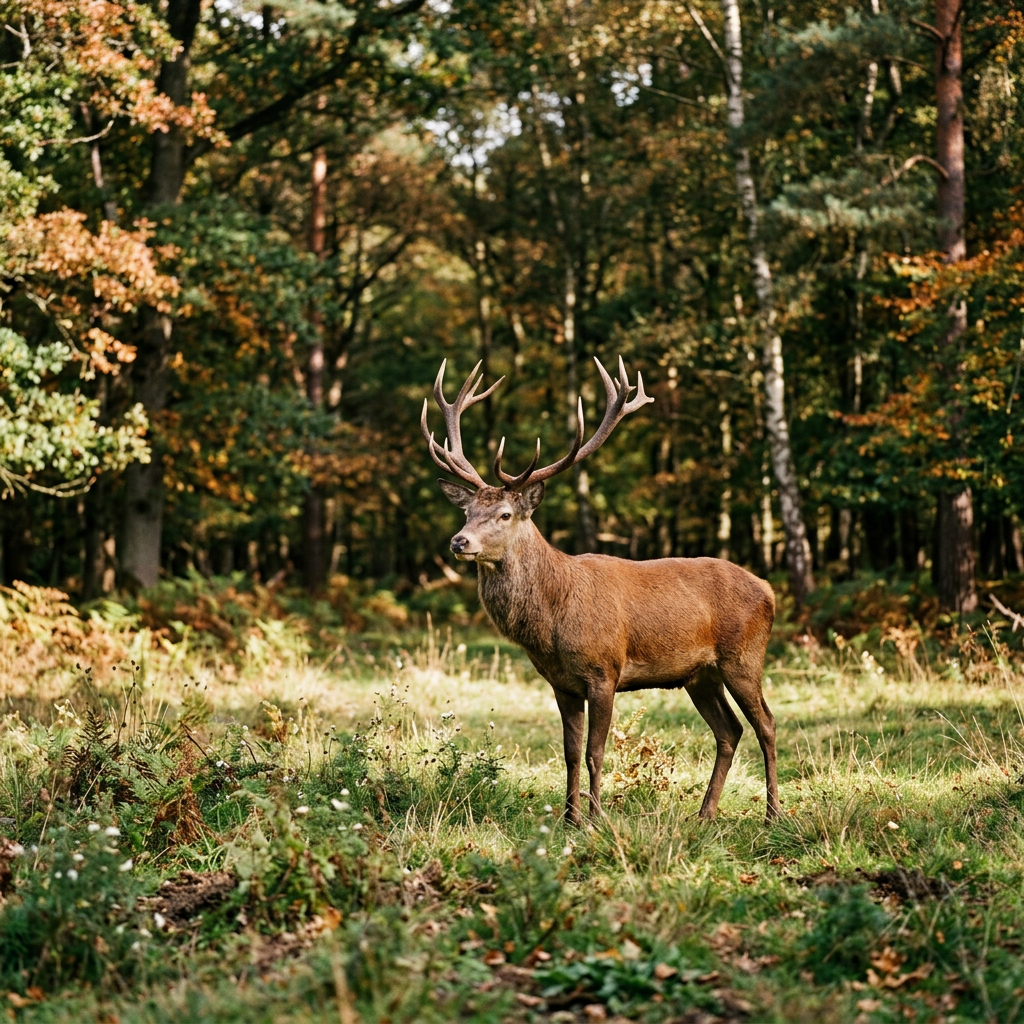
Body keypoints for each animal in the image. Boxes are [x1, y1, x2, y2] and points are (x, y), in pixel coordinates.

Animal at [421, 356, 779, 827]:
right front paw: (570, 818)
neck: (551, 621)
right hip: (700, 675)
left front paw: (596, 819)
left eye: (504, 514)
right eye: (467, 511)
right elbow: (571, 753)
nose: (459, 542)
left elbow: (595, 752)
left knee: (766, 725)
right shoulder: (561, 683)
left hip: (744, 657)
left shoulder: (604, 671)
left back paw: (773, 813)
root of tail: (769, 590)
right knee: (729, 730)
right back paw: (704, 814)